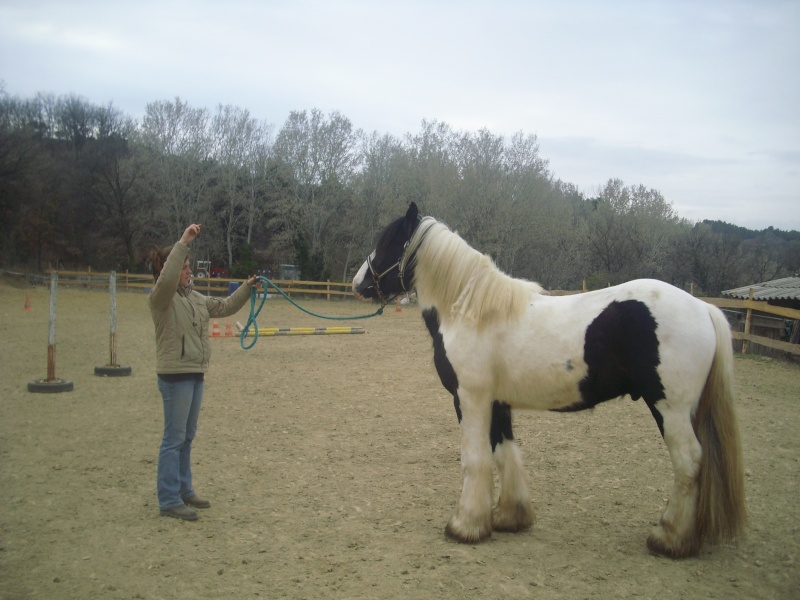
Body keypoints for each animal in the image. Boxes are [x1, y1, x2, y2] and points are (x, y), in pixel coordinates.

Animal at [354, 202, 748, 556]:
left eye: (387, 242)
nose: (359, 283)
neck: (470, 311)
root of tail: (704, 308)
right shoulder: (497, 401)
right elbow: (504, 454)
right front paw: (509, 517)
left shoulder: (470, 398)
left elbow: (475, 459)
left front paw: (465, 526)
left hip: (671, 409)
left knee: (689, 463)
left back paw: (669, 539)